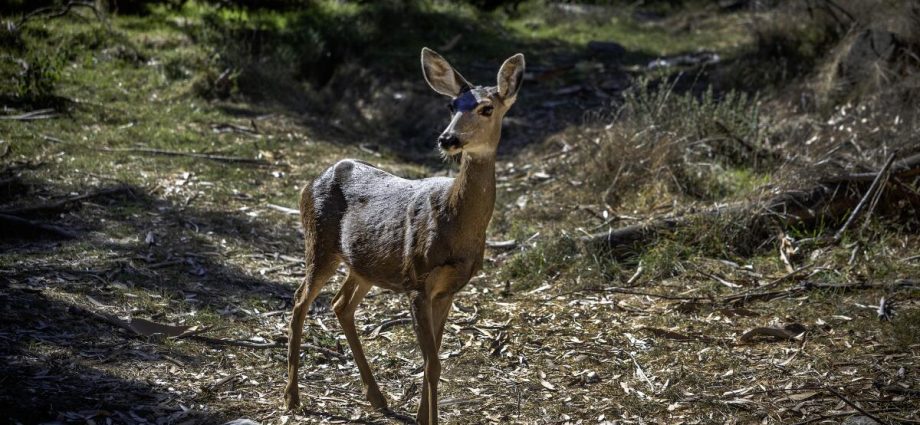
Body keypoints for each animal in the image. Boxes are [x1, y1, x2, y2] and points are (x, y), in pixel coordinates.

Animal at [283, 47, 525, 424]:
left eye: (487, 108)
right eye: (451, 105)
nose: (447, 139)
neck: (457, 225)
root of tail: (313, 181)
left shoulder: (449, 289)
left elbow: (432, 359)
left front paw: (423, 415)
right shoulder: (418, 281)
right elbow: (433, 363)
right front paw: (430, 419)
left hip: (364, 263)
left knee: (340, 304)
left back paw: (377, 398)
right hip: (319, 242)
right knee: (299, 302)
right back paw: (292, 397)